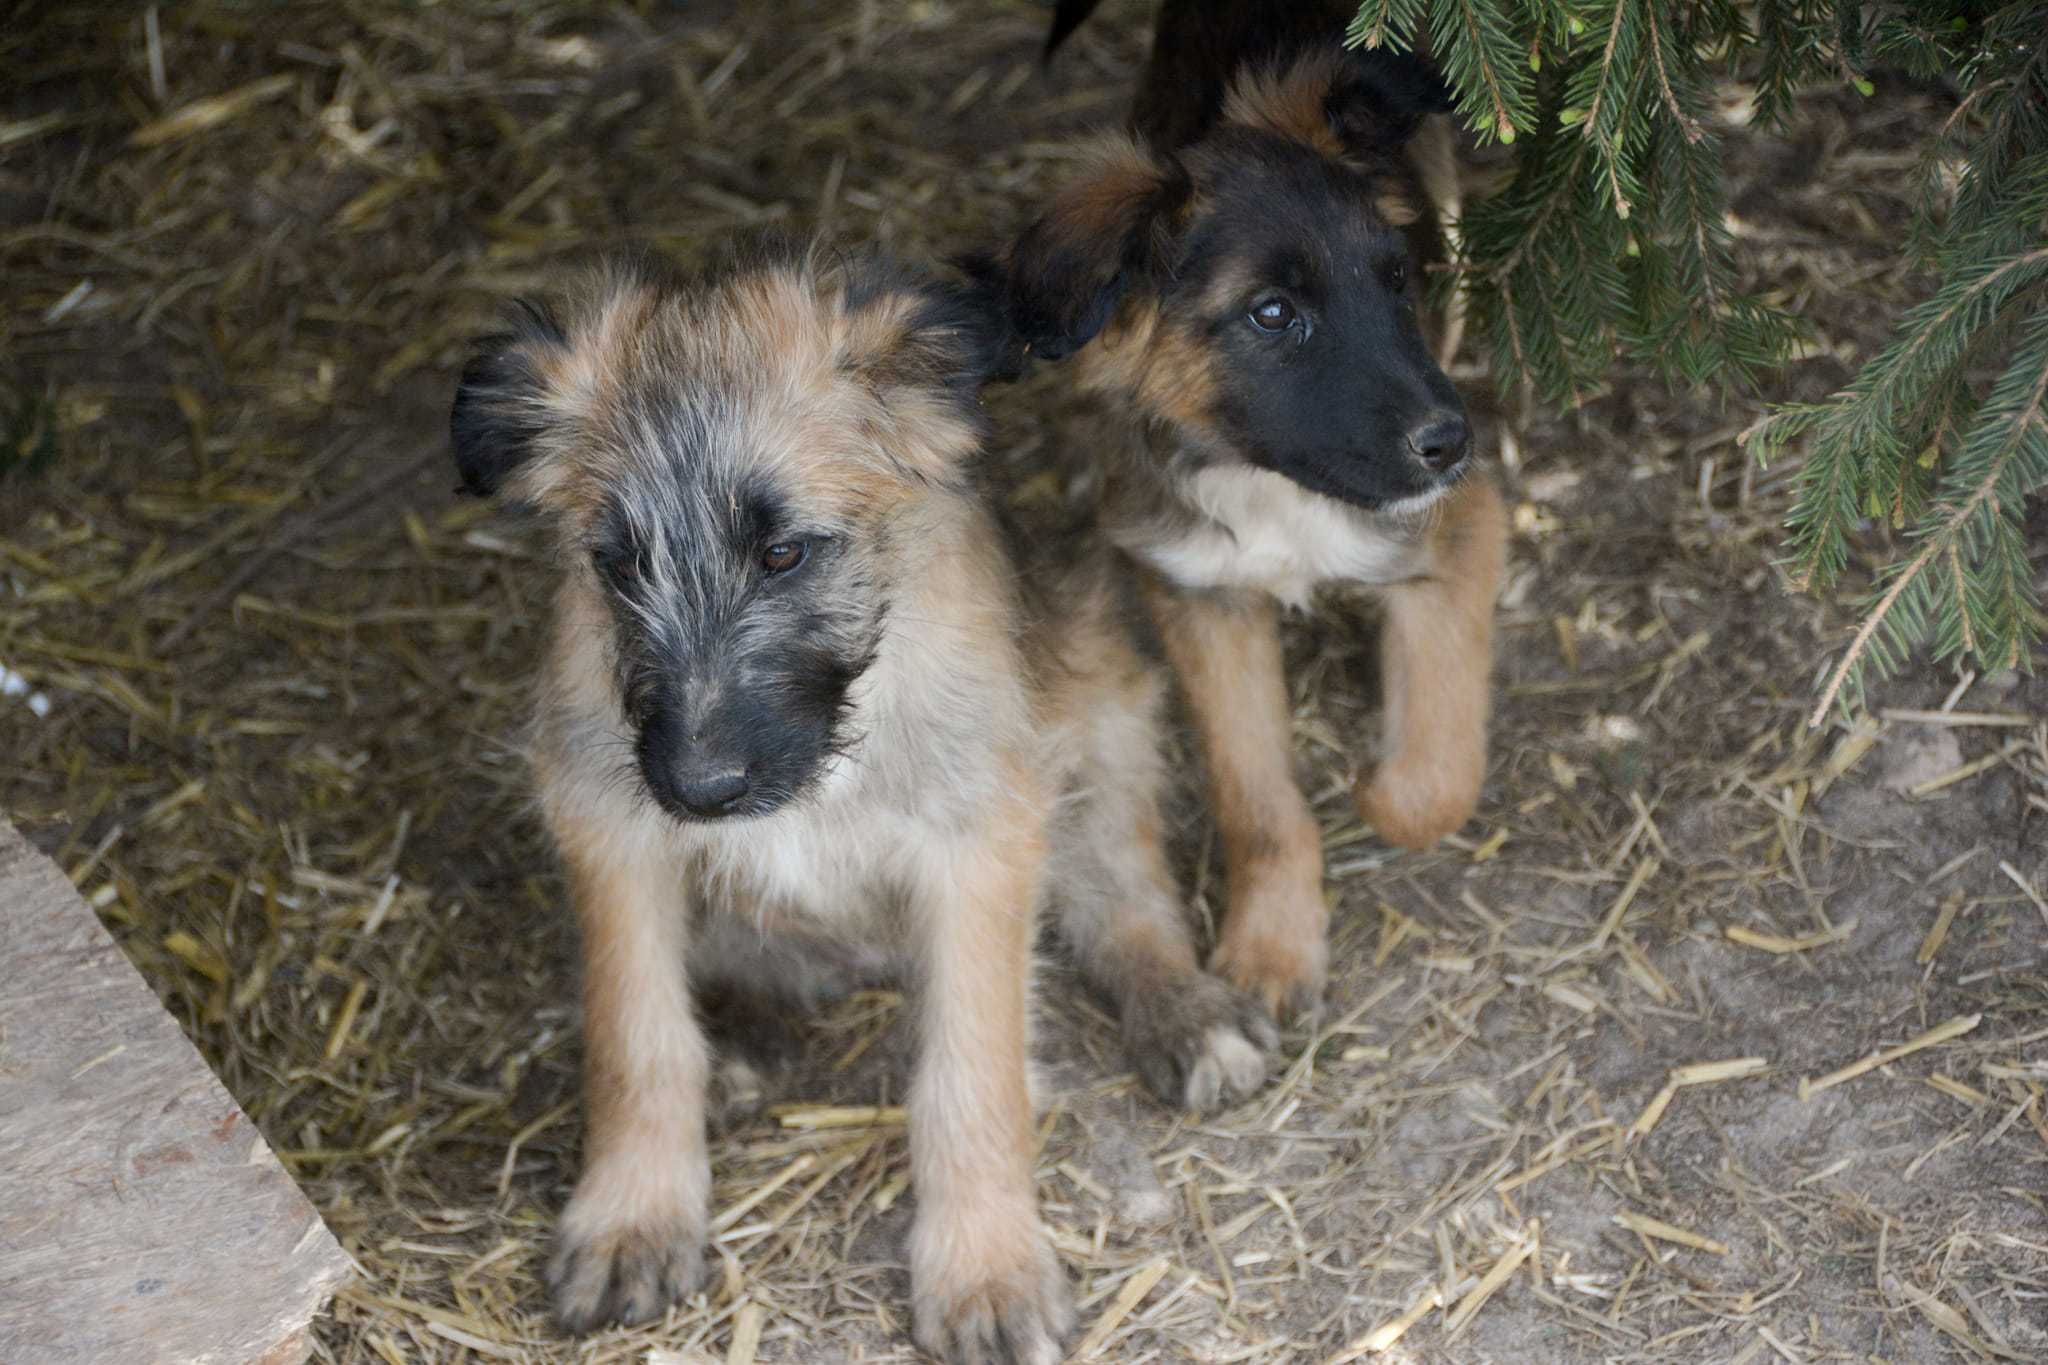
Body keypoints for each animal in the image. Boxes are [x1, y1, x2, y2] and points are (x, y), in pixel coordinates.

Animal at [456, 240, 1269, 1358]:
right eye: (616, 563)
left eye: (784, 551)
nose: (701, 788)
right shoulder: (611, 824)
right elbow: (636, 1039)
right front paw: (634, 1215)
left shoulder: (976, 842)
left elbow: (971, 1075)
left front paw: (984, 1269)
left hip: (1102, 699)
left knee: (1125, 903)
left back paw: (1184, 1012)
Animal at [1007, 7, 1507, 1023]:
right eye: (1272, 314)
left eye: (1397, 279)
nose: (1452, 442)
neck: (1272, 478)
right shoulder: (1199, 592)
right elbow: (1257, 799)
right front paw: (1272, 946)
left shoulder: (1460, 529)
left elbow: (1434, 780)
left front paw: (1375, 785)